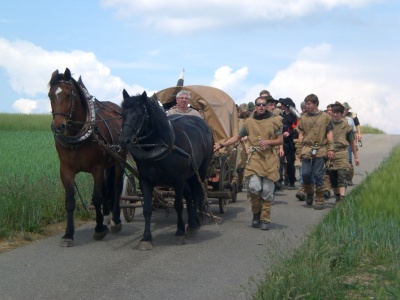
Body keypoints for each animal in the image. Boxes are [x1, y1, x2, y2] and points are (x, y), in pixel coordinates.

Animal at [49, 68, 126, 246]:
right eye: (50, 95)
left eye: (68, 95)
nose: (58, 126)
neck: (76, 137)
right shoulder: (66, 170)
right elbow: (70, 202)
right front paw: (68, 234)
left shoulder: (97, 168)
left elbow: (96, 198)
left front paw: (99, 229)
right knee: (106, 189)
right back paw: (106, 216)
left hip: (119, 160)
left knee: (117, 187)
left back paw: (115, 220)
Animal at [118, 90, 212, 250]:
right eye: (122, 114)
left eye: (140, 114)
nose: (124, 141)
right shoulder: (145, 180)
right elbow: (147, 209)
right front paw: (146, 238)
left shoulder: (178, 180)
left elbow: (178, 205)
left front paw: (179, 232)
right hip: (188, 177)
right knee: (190, 195)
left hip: (200, 170)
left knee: (197, 193)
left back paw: (193, 224)